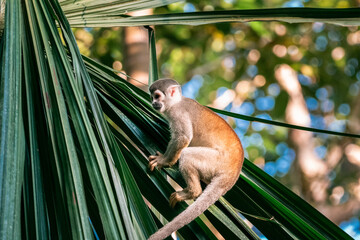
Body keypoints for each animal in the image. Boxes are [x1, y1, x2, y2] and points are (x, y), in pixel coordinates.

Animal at [148, 79, 243, 240]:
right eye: (152, 96)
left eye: (157, 96)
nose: (153, 102)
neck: (177, 102)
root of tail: (233, 172)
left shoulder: (178, 112)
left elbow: (183, 137)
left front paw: (164, 161)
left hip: (216, 161)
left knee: (186, 155)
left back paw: (193, 192)